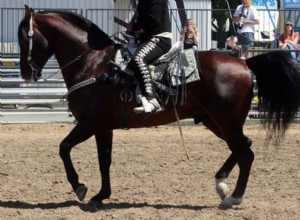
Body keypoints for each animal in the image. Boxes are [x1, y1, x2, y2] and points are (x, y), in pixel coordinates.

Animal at [17, 6, 300, 211]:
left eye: (24, 37)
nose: (27, 73)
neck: (95, 64)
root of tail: (245, 63)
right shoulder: (103, 127)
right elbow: (104, 160)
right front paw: (101, 195)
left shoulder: (90, 122)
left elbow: (64, 148)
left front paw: (80, 187)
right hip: (216, 121)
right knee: (244, 146)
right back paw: (221, 184)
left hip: (226, 122)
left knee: (246, 154)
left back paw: (233, 198)